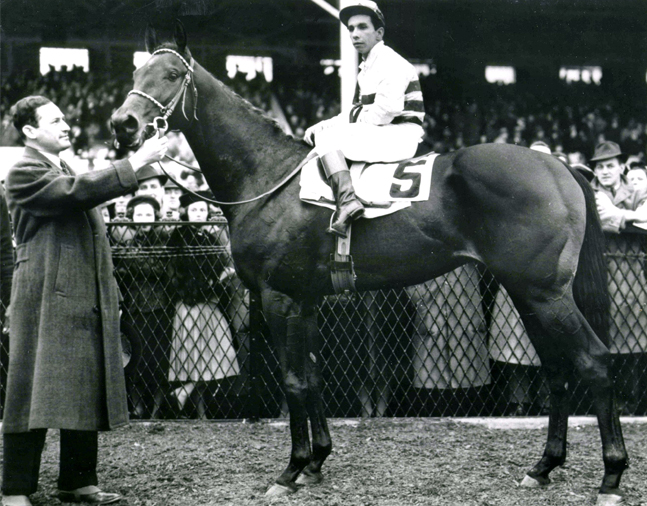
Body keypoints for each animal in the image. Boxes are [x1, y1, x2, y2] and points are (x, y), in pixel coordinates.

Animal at [111, 22, 628, 506]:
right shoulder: (306, 299)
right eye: (135, 73)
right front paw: (316, 461)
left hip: (545, 293)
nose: (122, 124)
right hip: (527, 293)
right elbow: (313, 376)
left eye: (172, 75)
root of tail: (558, 165)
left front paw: (291, 470)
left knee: (595, 361)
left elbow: (293, 380)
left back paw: (611, 475)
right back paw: (543, 466)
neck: (268, 175)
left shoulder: (278, 297)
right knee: (558, 368)